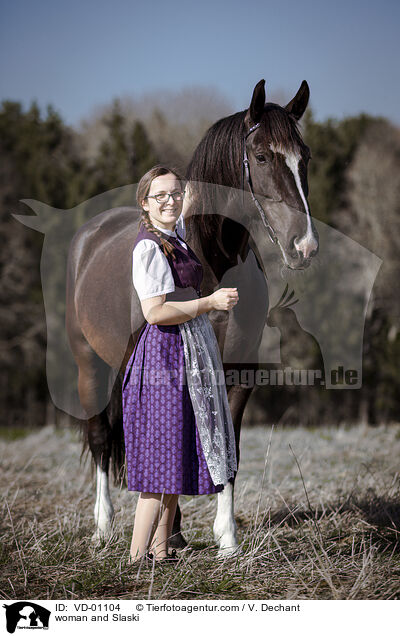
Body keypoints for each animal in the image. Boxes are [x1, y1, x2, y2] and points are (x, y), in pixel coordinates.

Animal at [66, 79, 318, 556]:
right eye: (261, 156)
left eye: (305, 157)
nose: (305, 247)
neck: (211, 258)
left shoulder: (238, 372)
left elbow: (227, 451)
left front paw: (227, 538)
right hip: (88, 361)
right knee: (101, 438)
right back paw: (103, 527)